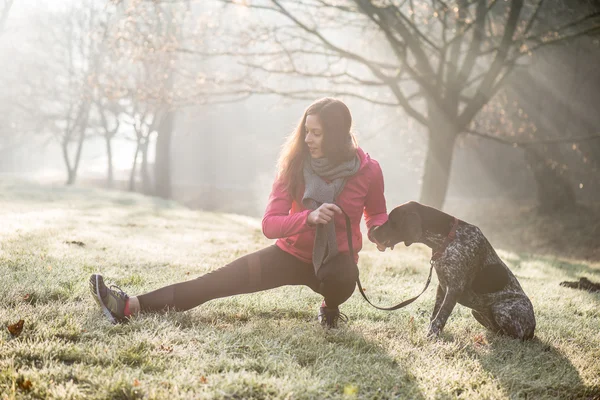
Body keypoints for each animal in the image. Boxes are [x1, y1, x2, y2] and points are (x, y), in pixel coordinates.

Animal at [372, 202, 536, 340]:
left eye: (391, 220)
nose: (372, 232)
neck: (448, 238)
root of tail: (533, 330)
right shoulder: (442, 286)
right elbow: (435, 314)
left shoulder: (454, 288)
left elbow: (440, 317)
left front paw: (431, 338)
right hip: (477, 312)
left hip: (501, 308)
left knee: (516, 335)